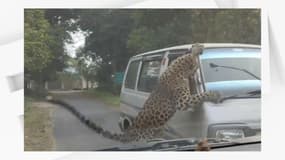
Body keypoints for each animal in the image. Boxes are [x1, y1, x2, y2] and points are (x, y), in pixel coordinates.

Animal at [47, 43, 220, 143]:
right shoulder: (183, 101)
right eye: (196, 67)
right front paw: (215, 95)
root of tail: (129, 131)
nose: (196, 69)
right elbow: (200, 95)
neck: (179, 68)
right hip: (143, 135)